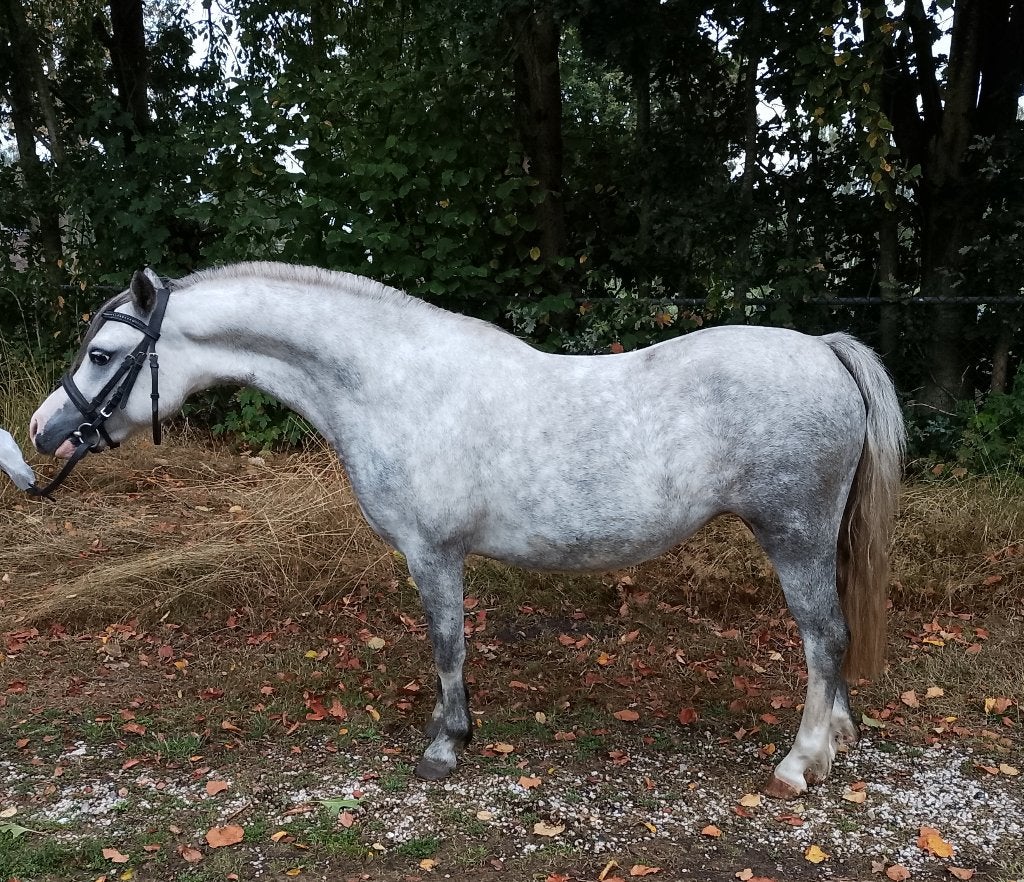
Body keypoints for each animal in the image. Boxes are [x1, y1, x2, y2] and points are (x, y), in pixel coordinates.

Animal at [29, 263, 905, 798]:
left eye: (102, 352)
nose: (43, 431)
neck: (393, 384)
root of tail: (824, 349)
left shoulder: (433, 555)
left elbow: (447, 646)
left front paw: (445, 744)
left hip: (792, 533)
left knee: (823, 636)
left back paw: (800, 762)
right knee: (832, 637)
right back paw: (838, 737)